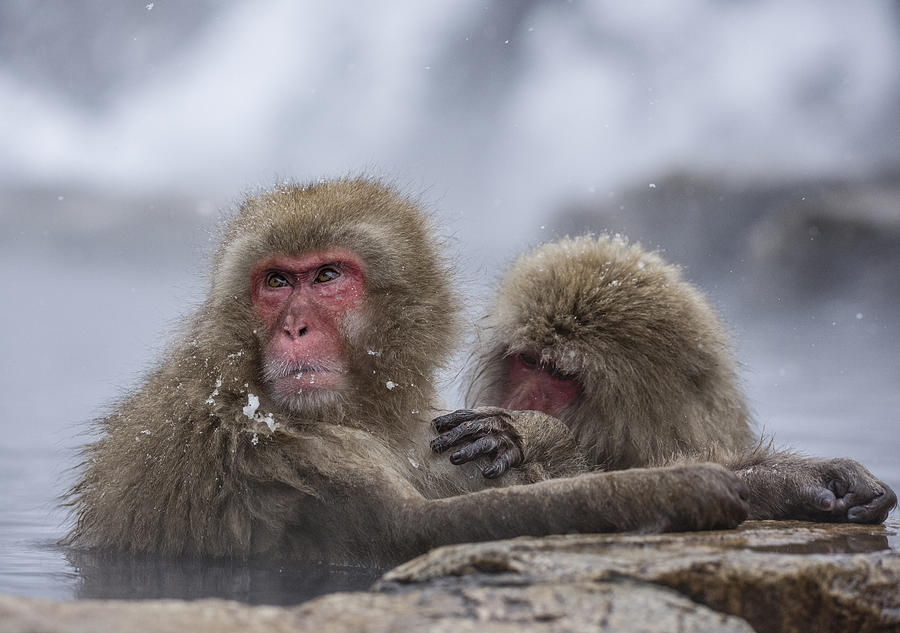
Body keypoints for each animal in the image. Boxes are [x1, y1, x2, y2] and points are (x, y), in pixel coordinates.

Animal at [67, 180, 748, 564]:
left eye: (327, 276)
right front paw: (696, 485)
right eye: (276, 282)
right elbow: (417, 532)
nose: (293, 328)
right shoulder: (268, 441)